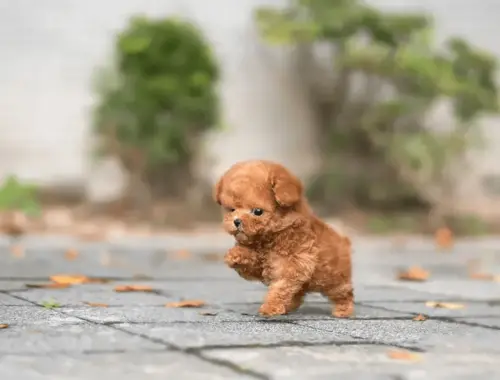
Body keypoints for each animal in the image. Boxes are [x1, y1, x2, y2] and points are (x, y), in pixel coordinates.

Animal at [213, 160, 354, 318]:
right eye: (231, 210)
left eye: (258, 211)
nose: (237, 221)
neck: (270, 237)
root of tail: (344, 241)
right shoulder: (262, 267)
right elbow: (252, 262)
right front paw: (235, 255)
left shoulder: (293, 265)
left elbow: (280, 288)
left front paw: (270, 307)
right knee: (298, 294)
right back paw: (289, 307)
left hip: (334, 279)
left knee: (343, 293)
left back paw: (343, 310)